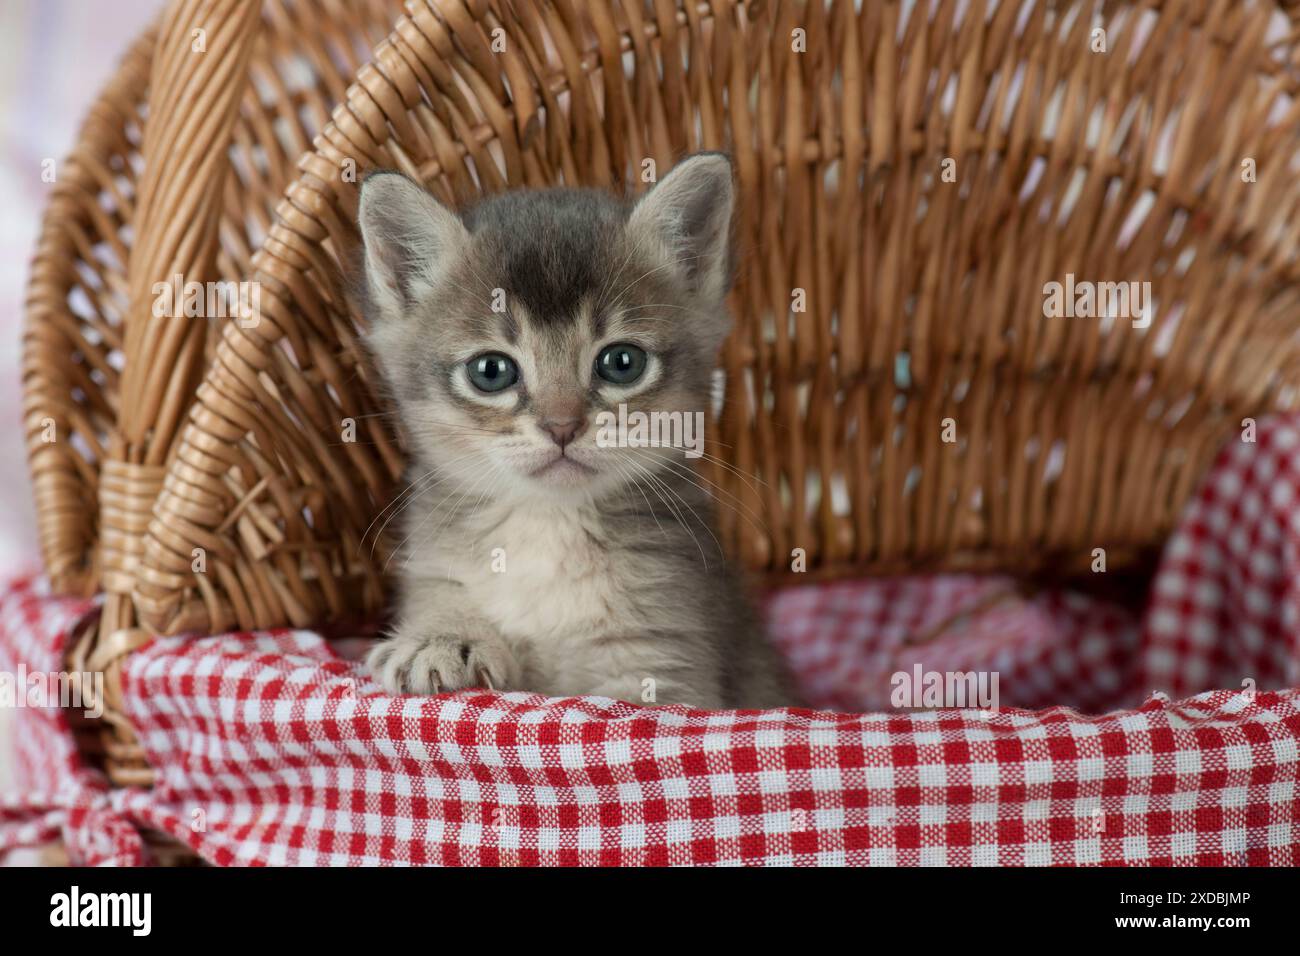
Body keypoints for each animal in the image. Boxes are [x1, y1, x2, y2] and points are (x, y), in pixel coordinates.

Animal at [358, 155, 790, 712]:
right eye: (491, 371)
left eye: (622, 362)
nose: (561, 426)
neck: (549, 525)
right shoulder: (437, 571)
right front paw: (444, 638)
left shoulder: (662, 665)